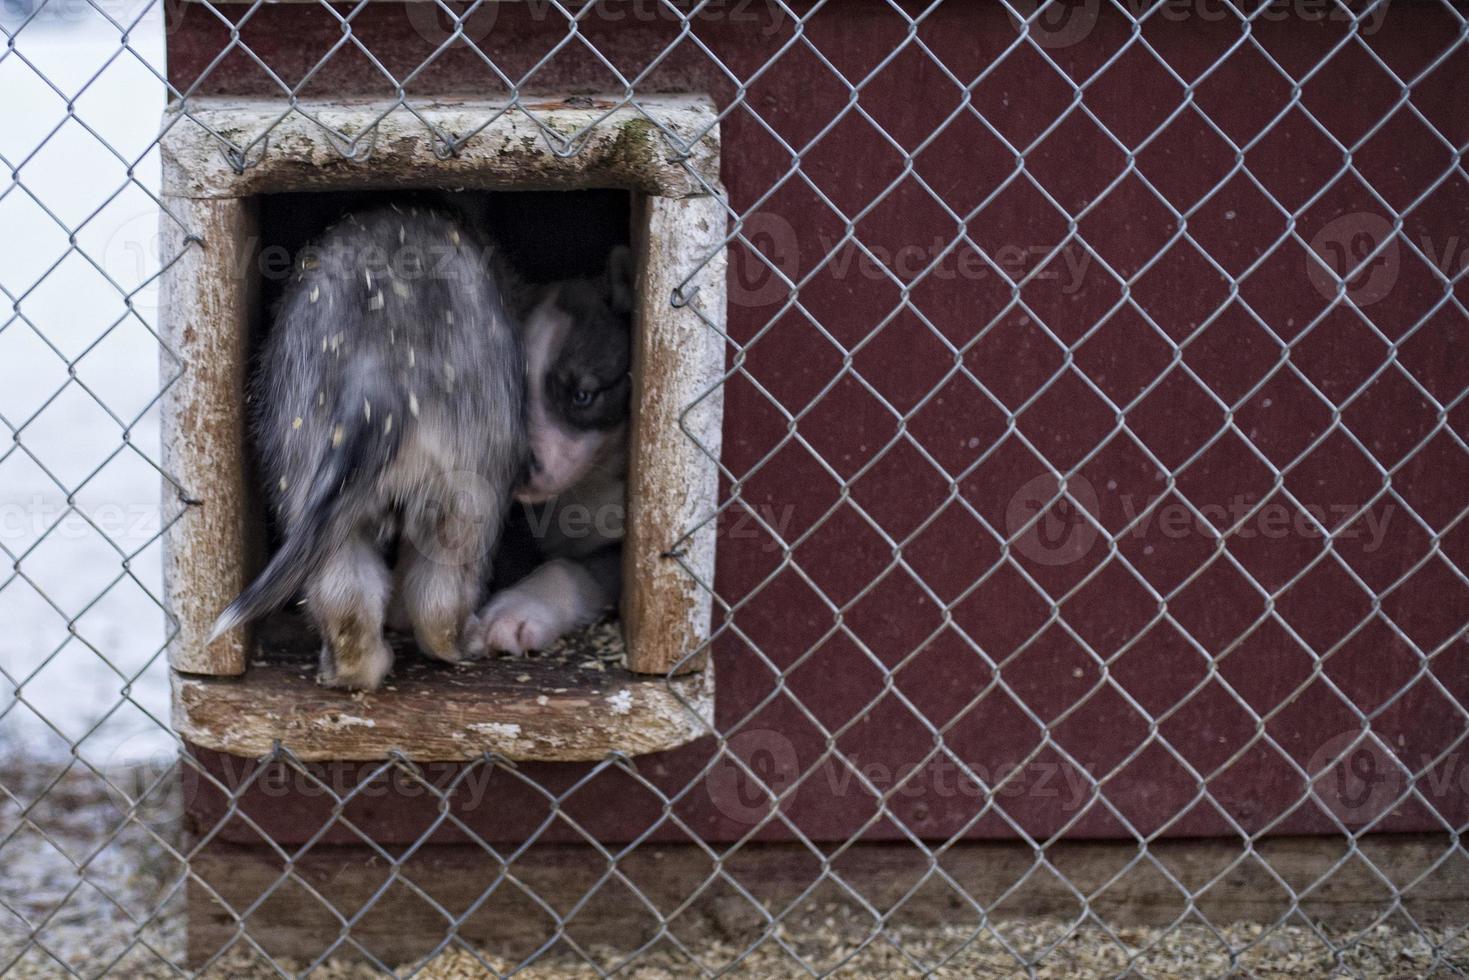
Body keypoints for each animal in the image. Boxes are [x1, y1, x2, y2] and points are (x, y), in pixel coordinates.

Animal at [213, 207, 522, 690]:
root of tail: (375, 370)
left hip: (306, 483)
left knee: (346, 598)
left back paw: (351, 670)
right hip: (469, 491)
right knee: (438, 595)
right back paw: (461, 643)